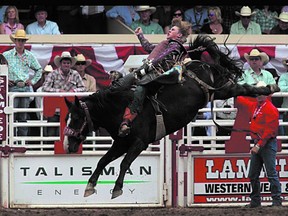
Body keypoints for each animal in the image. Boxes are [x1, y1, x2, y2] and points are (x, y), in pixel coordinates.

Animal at [62, 35, 280, 199]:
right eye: (67, 119)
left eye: (75, 118)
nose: (66, 145)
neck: (119, 108)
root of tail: (198, 63)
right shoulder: (121, 143)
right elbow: (103, 161)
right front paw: (89, 186)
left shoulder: (139, 143)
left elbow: (124, 163)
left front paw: (116, 189)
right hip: (217, 92)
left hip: (223, 89)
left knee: (244, 89)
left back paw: (269, 88)